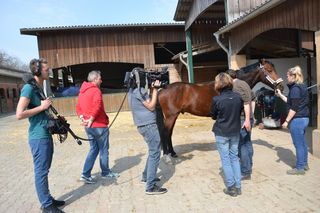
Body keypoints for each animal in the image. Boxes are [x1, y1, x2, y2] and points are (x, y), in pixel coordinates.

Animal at [156, 59, 284, 159]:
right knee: (165, 133)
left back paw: (173, 153)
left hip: (174, 116)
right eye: (269, 70)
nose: (281, 86)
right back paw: (167, 155)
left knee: (169, 133)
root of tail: (162, 89)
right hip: (170, 116)